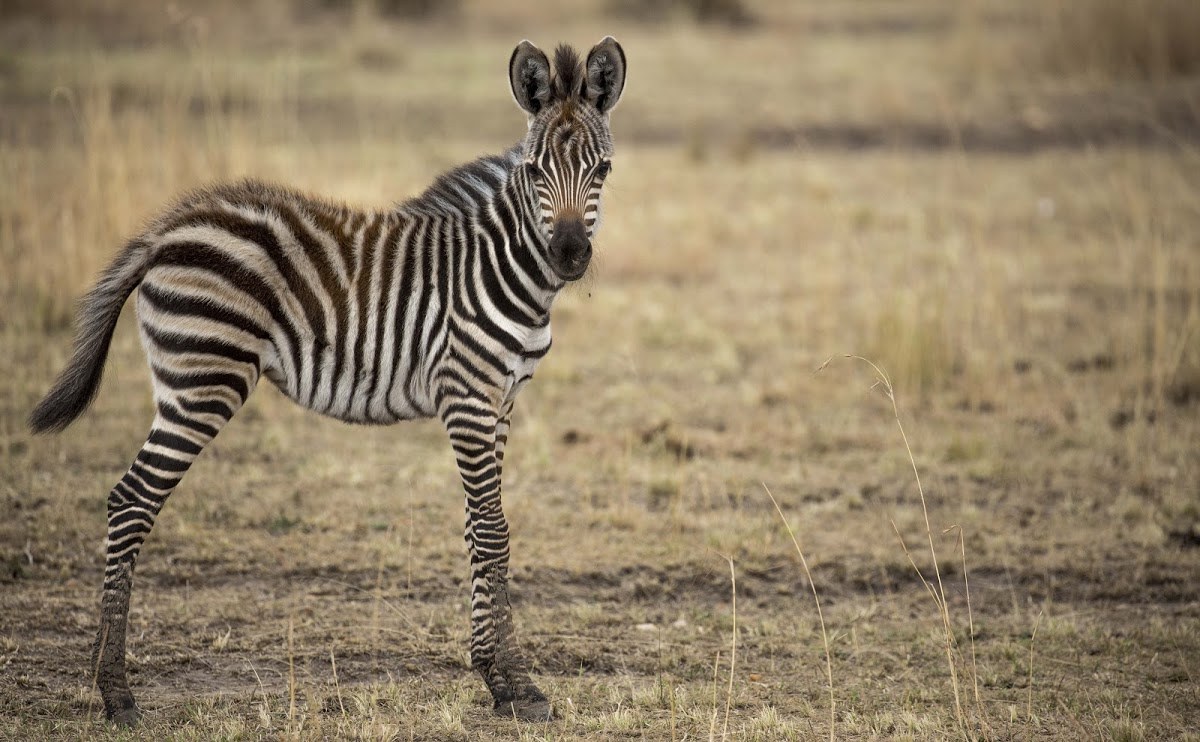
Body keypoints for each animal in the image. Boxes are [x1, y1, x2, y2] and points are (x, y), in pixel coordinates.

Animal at [28, 36, 628, 720]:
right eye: (534, 171)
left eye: (603, 170)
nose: (570, 255)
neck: (504, 266)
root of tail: (164, 231)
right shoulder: (467, 397)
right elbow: (494, 532)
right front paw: (517, 685)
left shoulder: (499, 401)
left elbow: (478, 531)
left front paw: (496, 678)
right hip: (203, 380)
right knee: (131, 501)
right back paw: (116, 690)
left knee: (129, 500)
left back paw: (104, 678)